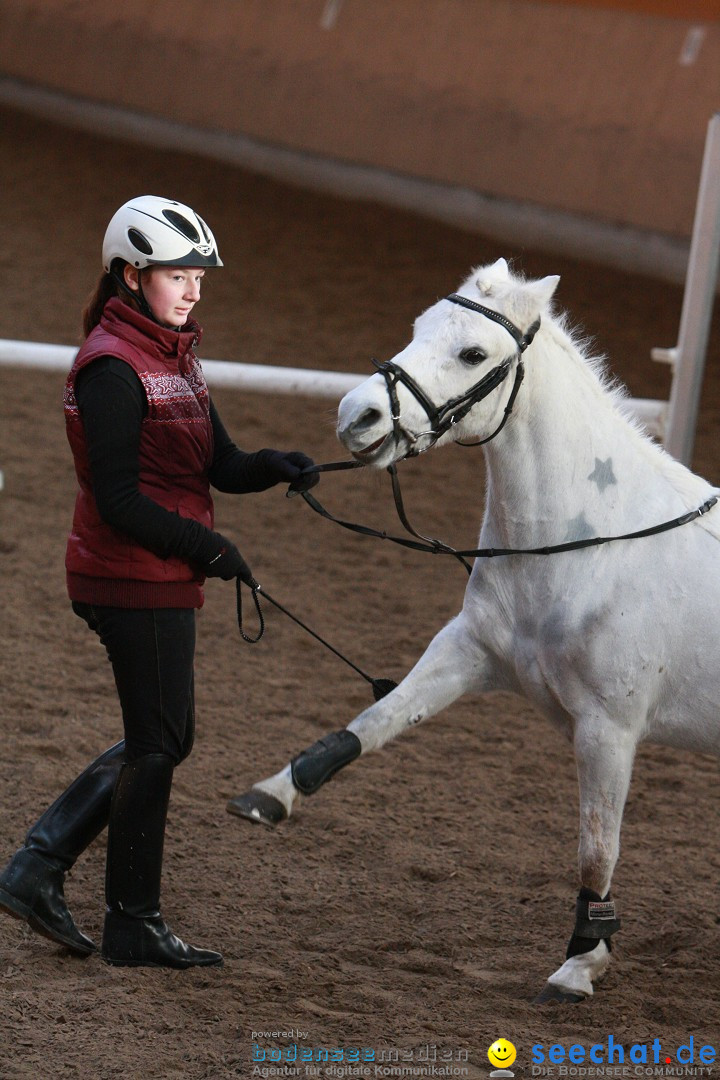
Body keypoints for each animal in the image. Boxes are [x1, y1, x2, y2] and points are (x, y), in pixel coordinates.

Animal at [231, 261, 720, 1002]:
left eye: (472, 354)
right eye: (417, 328)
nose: (357, 415)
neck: (592, 546)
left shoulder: (609, 729)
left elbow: (596, 849)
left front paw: (581, 962)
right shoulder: (468, 651)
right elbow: (375, 720)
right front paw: (272, 794)